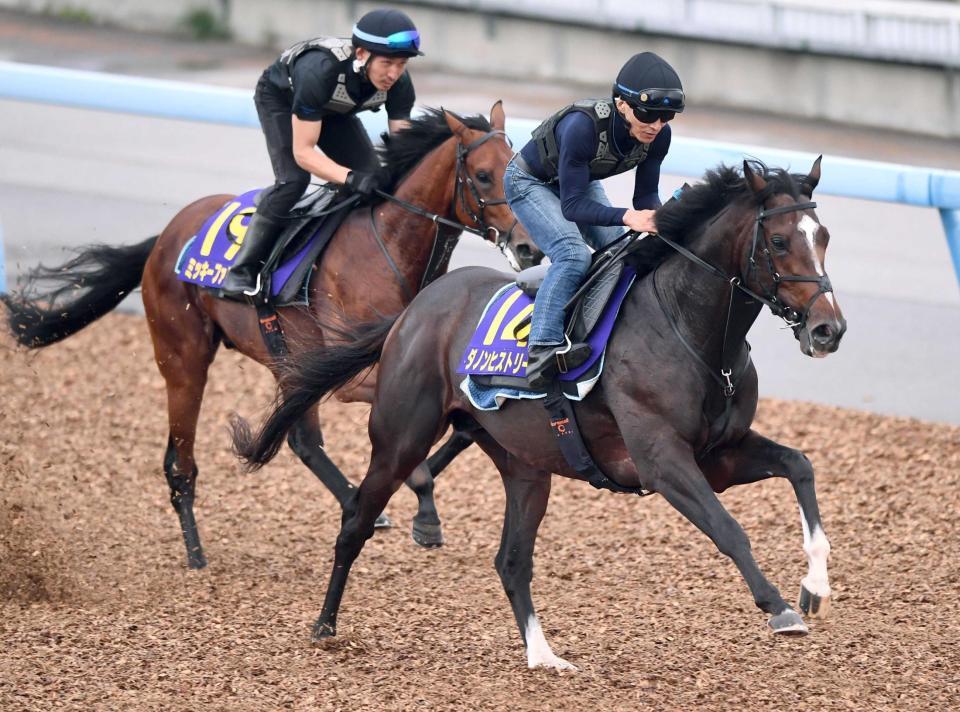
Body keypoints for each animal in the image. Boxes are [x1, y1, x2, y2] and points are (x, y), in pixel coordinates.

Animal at [1, 103, 539, 570]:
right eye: (484, 175)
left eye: (516, 169)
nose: (529, 247)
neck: (386, 244)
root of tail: (166, 237)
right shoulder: (356, 374)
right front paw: (424, 509)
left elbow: (461, 427)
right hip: (184, 358)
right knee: (181, 460)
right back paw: (196, 553)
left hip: (285, 359)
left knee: (300, 438)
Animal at [232, 157, 847, 669]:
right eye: (779, 240)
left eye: (824, 237)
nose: (829, 330)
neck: (691, 329)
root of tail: (412, 311)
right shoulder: (662, 461)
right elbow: (729, 529)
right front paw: (778, 607)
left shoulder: (718, 454)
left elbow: (800, 465)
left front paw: (814, 585)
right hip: (400, 436)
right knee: (357, 519)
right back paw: (325, 624)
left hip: (525, 465)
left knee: (511, 559)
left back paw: (543, 655)